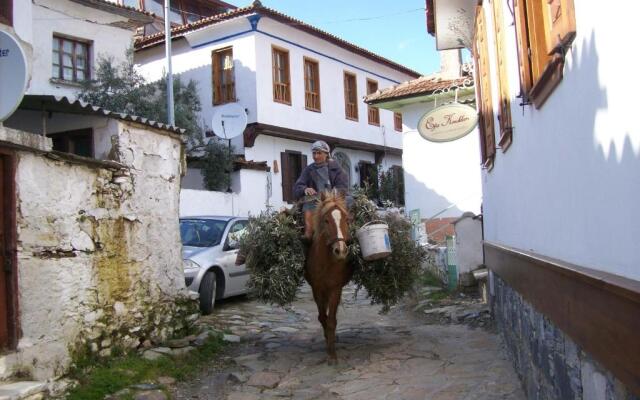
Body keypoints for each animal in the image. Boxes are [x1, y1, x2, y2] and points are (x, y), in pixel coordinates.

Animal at [302, 191, 352, 366]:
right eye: (326, 220)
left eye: (347, 219)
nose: (340, 251)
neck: (326, 263)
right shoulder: (317, 289)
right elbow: (322, 317)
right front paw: (328, 345)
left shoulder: (335, 289)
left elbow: (331, 320)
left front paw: (333, 355)